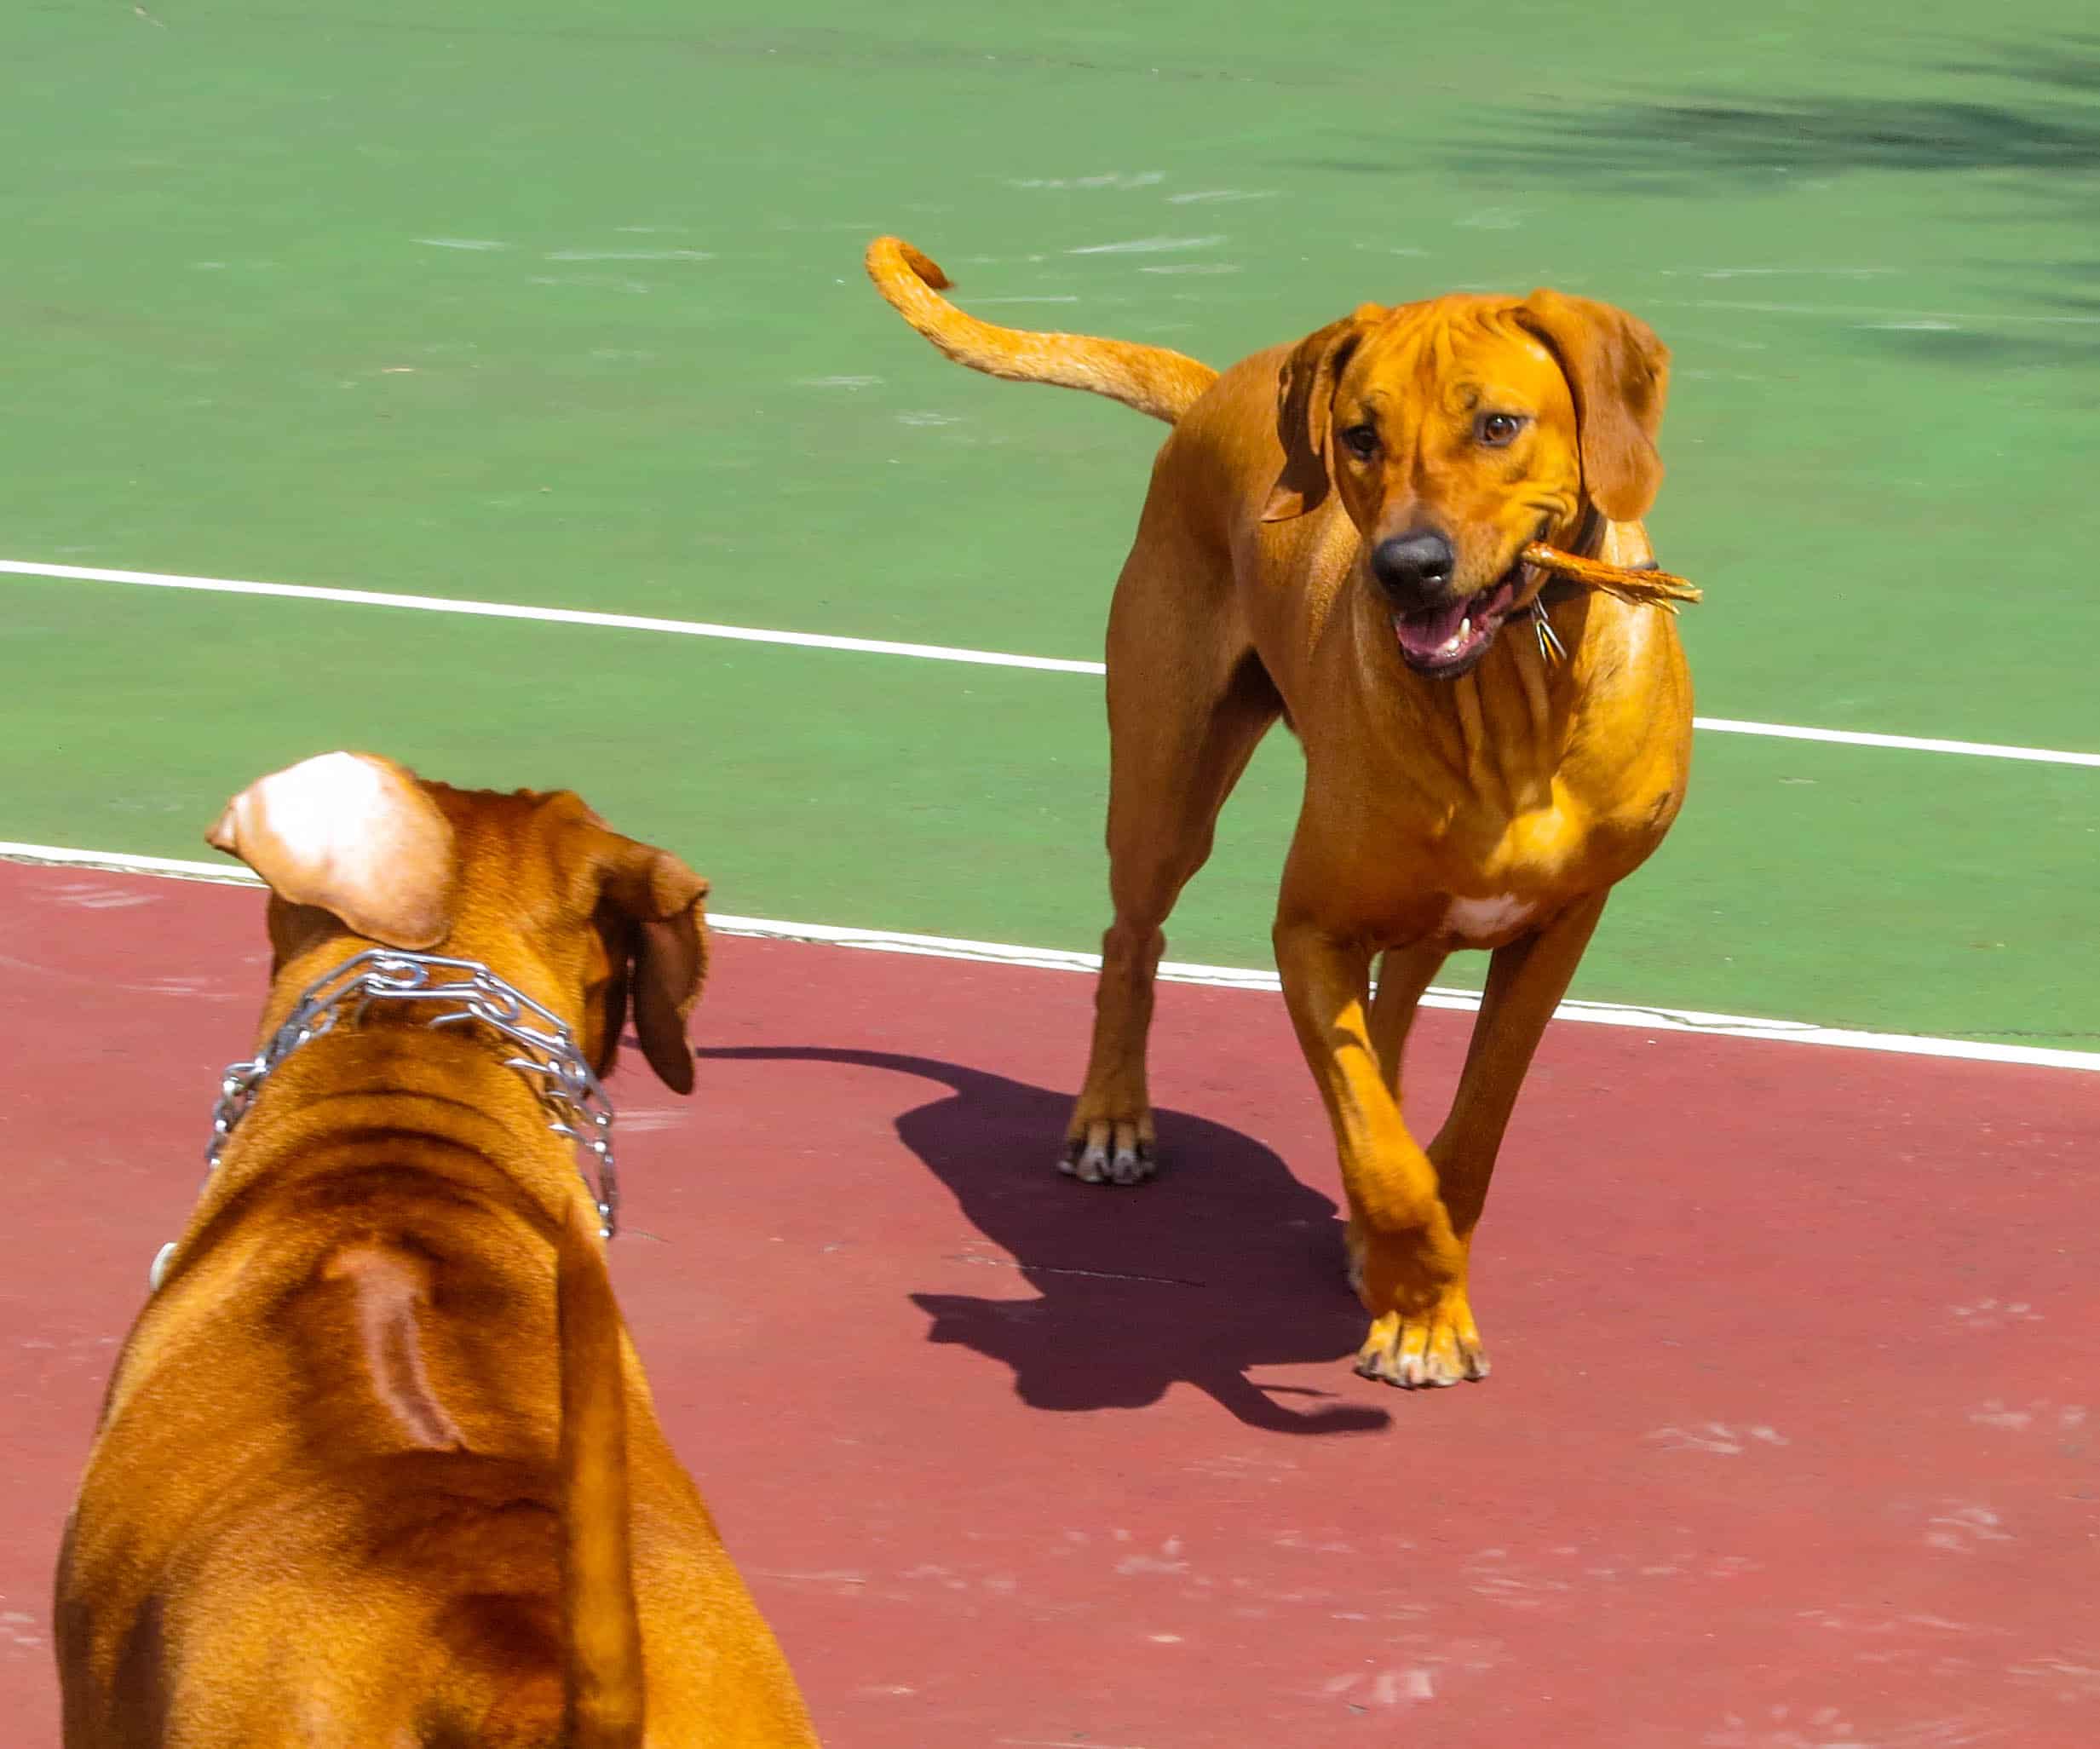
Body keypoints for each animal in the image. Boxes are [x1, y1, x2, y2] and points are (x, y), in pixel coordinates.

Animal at [860, 235, 1696, 1394]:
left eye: (1496, 424)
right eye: (1359, 435)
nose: (1405, 568)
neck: (1508, 698)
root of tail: (1220, 385)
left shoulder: (1557, 930)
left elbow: (1467, 1130)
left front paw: (1423, 1286)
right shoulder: (1308, 931)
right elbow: (1382, 1153)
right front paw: (1416, 1297)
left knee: (1389, 1018)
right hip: (1166, 773)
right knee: (1133, 936)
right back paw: (1112, 1115)